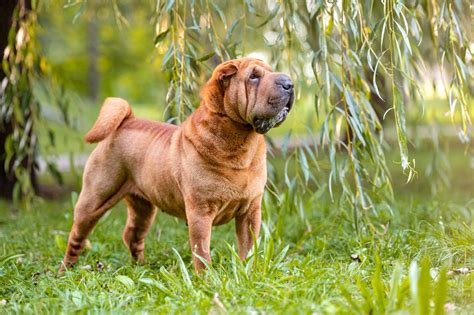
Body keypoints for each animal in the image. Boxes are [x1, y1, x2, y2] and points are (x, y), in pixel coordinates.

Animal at [61, 58, 294, 272]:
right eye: (253, 77)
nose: (289, 83)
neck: (240, 143)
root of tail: (127, 120)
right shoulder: (200, 213)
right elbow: (202, 252)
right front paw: (206, 280)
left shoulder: (250, 212)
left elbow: (249, 248)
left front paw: (249, 272)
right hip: (94, 199)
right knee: (77, 236)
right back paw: (66, 270)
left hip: (143, 208)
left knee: (132, 234)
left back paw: (141, 268)